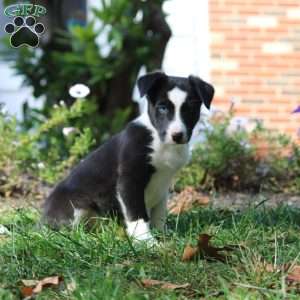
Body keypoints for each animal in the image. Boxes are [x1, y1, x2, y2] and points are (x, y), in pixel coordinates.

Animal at [43, 72, 214, 244]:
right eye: (163, 108)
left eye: (190, 109)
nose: (177, 136)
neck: (158, 139)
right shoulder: (129, 180)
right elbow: (137, 214)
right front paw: (146, 241)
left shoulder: (163, 184)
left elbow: (159, 213)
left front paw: (163, 235)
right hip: (77, 206)